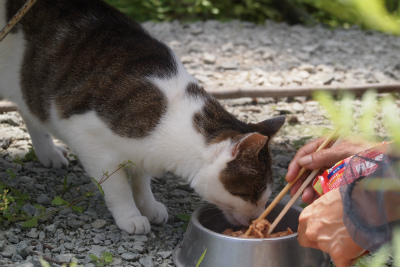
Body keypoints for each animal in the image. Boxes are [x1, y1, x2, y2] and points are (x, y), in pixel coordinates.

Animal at [1, 0, 286, 234]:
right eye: (250, 195)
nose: (257, 218)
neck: (168, 117)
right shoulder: (88, 139)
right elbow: (117, 187)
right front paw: (131, 216)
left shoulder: (144, 151)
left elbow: (141, 179)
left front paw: (148, 206)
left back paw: (47, 152)